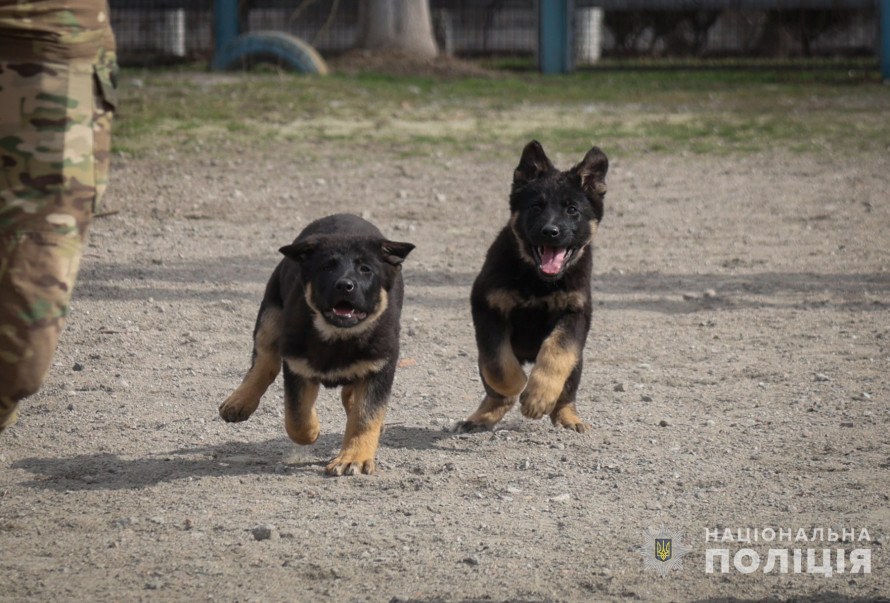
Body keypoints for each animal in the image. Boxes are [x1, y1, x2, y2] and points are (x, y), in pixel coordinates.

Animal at [222, 214, 416, 476]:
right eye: (326, 267)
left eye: (366, 270)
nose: (344, 285)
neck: (338, 335)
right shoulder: (296, 364)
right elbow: (297, 417)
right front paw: (313, 428)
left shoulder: (380, 365)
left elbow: (364, 418)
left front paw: (353, 458)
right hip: (271, 313)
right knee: (264, 362)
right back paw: (239, 401)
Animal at [454, 142, 608, 434]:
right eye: (536, 207)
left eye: (572, 210)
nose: (550, 231)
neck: (538, 281)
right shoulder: (486, 306)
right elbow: (498, 364)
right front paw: (519, 386)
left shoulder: (576, 313)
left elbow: (557, 352)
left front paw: (538, 395)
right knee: (493, 389)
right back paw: (480, 417)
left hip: (578, 361)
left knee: (567, 392)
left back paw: (569, 417)